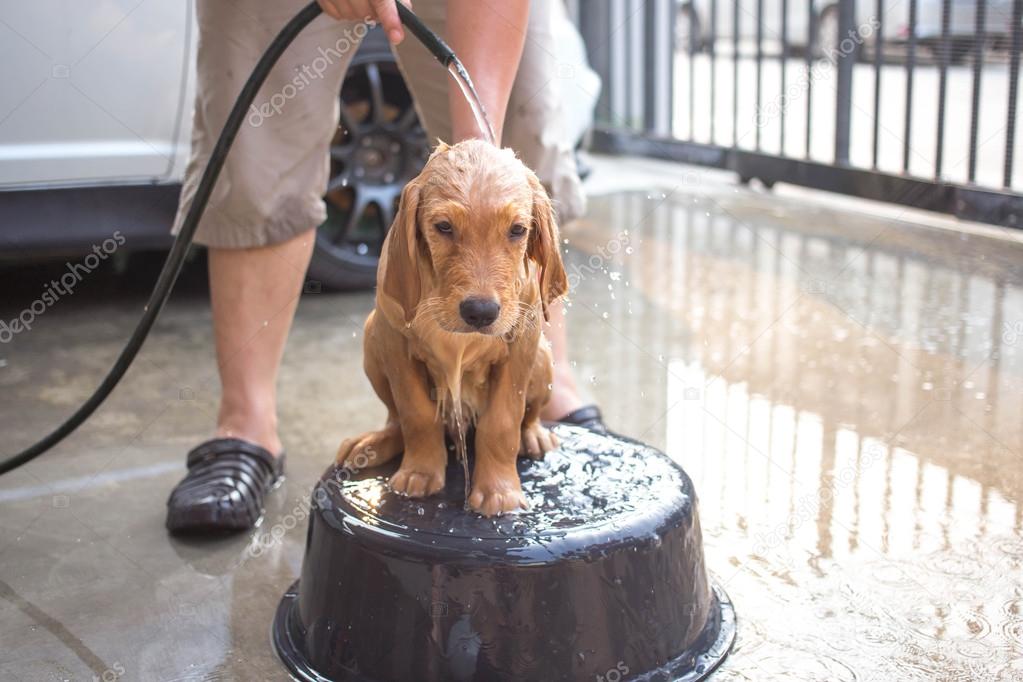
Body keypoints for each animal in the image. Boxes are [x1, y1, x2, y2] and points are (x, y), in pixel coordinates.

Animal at [339, 139, 572, 515]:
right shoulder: (393, 339)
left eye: (517, 230)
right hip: (372, 341)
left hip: (542, 358)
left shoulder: (521, 344)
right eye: (444, 227)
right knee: (394, 419)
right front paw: (419, 473)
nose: (480, 312)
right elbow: (415, 413)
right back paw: (374, 442)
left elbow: (502, 422)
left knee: (529, 416)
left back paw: (533, 435)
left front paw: (498, 492)